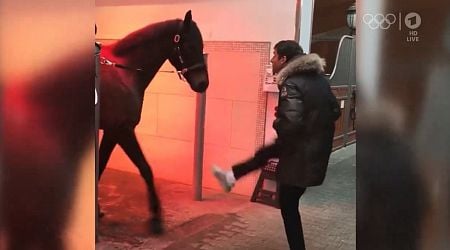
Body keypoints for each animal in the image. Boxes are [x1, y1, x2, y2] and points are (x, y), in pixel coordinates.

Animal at [97, 10, 208, 234]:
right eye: (189, 46)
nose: (203, 83)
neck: (124, 72)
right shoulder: (122, 131)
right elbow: (145, 169)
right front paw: (156, 219)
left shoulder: (111, 132)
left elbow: (100, 167)